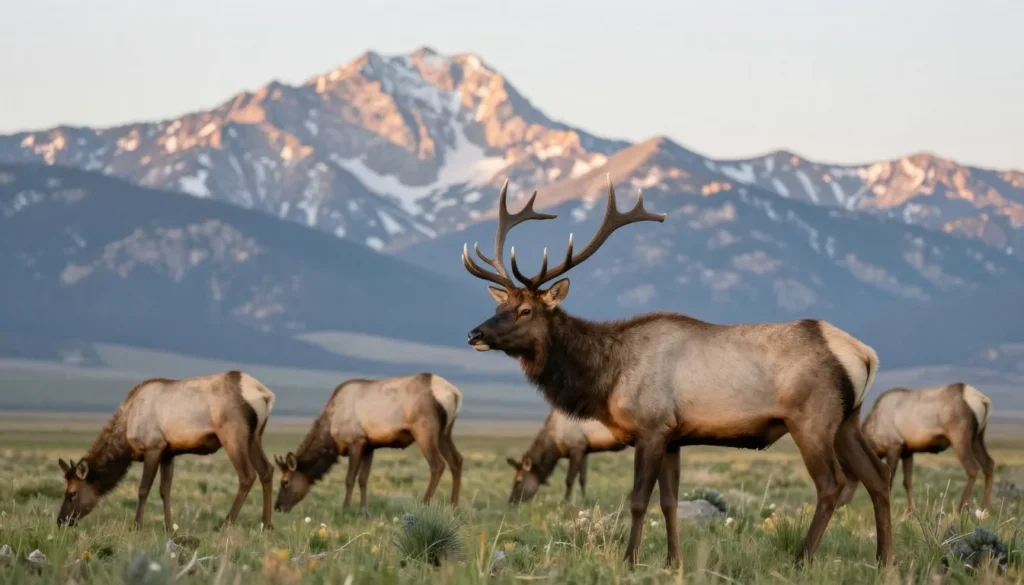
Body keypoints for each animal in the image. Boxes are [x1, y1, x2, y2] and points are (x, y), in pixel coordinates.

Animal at [56, 371, 276, 530]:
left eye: (72, 492)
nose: (61, 521)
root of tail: (265, 395)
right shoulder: (169, 453)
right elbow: (165, 490)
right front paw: (169, 526)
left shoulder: (153, 447)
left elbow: (143, 490)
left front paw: (136, 525)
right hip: (255, 436)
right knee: (267, 470)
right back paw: (266, 525)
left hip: (233, 434)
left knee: (247, 475)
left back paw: (226, 523)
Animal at [274, 373, 463, 513]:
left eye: (285, 482)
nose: (278, 507)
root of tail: (454, 394)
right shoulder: (369, 446)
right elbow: (363, 479)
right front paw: (364, 511)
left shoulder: (356, 442)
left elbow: (350, 479)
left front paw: (346, 508)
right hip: (445, 433)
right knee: (457, 460)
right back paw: (453, 507)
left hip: (425, 430)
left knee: (438, 464)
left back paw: (424, 505)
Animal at [462, 179, 893, 568]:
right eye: (501, 305)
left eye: (525, 310)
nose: (474, 333)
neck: (608, 377)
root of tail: (865, 354)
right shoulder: (674, 435)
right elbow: (669, 501)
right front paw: (673, 561)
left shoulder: (651, 426)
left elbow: (639, 500)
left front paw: (630, 560)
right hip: (847, 420)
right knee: (877, 476)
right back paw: (885, 559)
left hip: (812, 419)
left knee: (832, 484)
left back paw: (802, 559)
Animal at [837, 383, 995, 514]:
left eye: (845, 471)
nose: (840, 504)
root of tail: (983, 400)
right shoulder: (908, 452)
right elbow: (907, 481)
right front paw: (910, 512)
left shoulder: (894, 447)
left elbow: (890, 480)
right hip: (977, 437)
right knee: (989, 464)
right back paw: (984, 510)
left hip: (960, 438)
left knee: (972, 468)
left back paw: (960, 509)